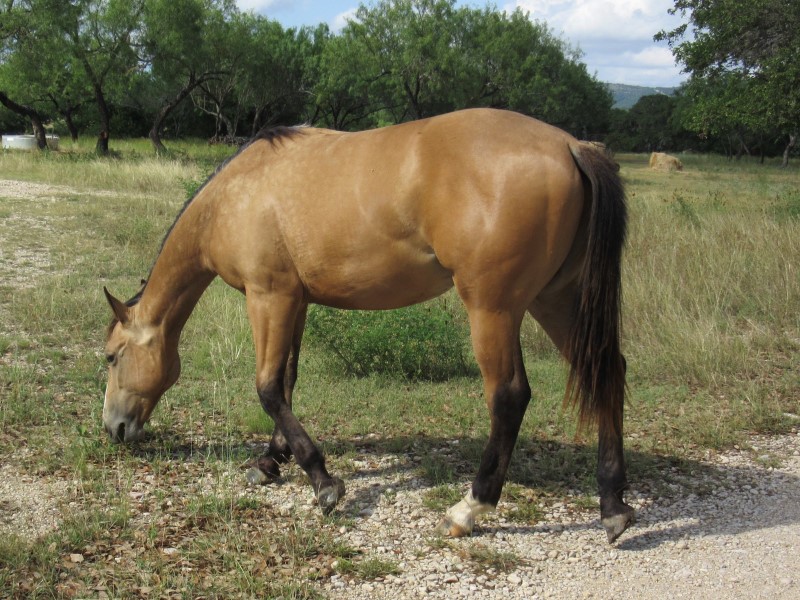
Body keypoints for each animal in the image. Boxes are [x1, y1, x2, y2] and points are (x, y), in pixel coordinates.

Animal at [103, 108, 636, 544]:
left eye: (111, 357)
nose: (114, 429)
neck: (235, 195)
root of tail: (570, 145)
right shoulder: (295, 302)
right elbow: (288, 382)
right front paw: (272, 462)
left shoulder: (268, 297)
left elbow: (268, 388)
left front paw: (323, 483)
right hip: (556, 299)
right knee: (609, 371)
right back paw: (613, 504)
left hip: (494, 309)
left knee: (509, 397)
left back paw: (470, 508)